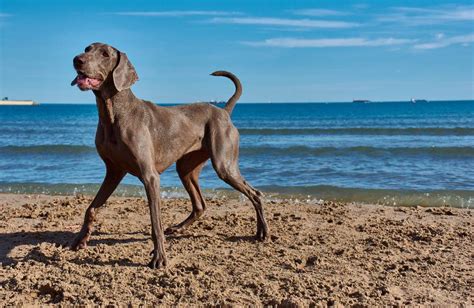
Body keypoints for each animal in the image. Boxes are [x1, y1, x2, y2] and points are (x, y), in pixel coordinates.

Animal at [71, 42, 270, 268]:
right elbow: (91, 208)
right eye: (87, 48)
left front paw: (159, 257)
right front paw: (80, 239)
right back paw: (178, 228)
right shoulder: (113, 171)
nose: (77, 59)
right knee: (200, 204)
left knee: (255, 193)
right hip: (186, 168)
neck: (114, 113)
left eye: (105, 54)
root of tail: (223, 111)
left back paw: (262, 232)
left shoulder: (150, 177)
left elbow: (155, 221)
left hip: (223, 164)